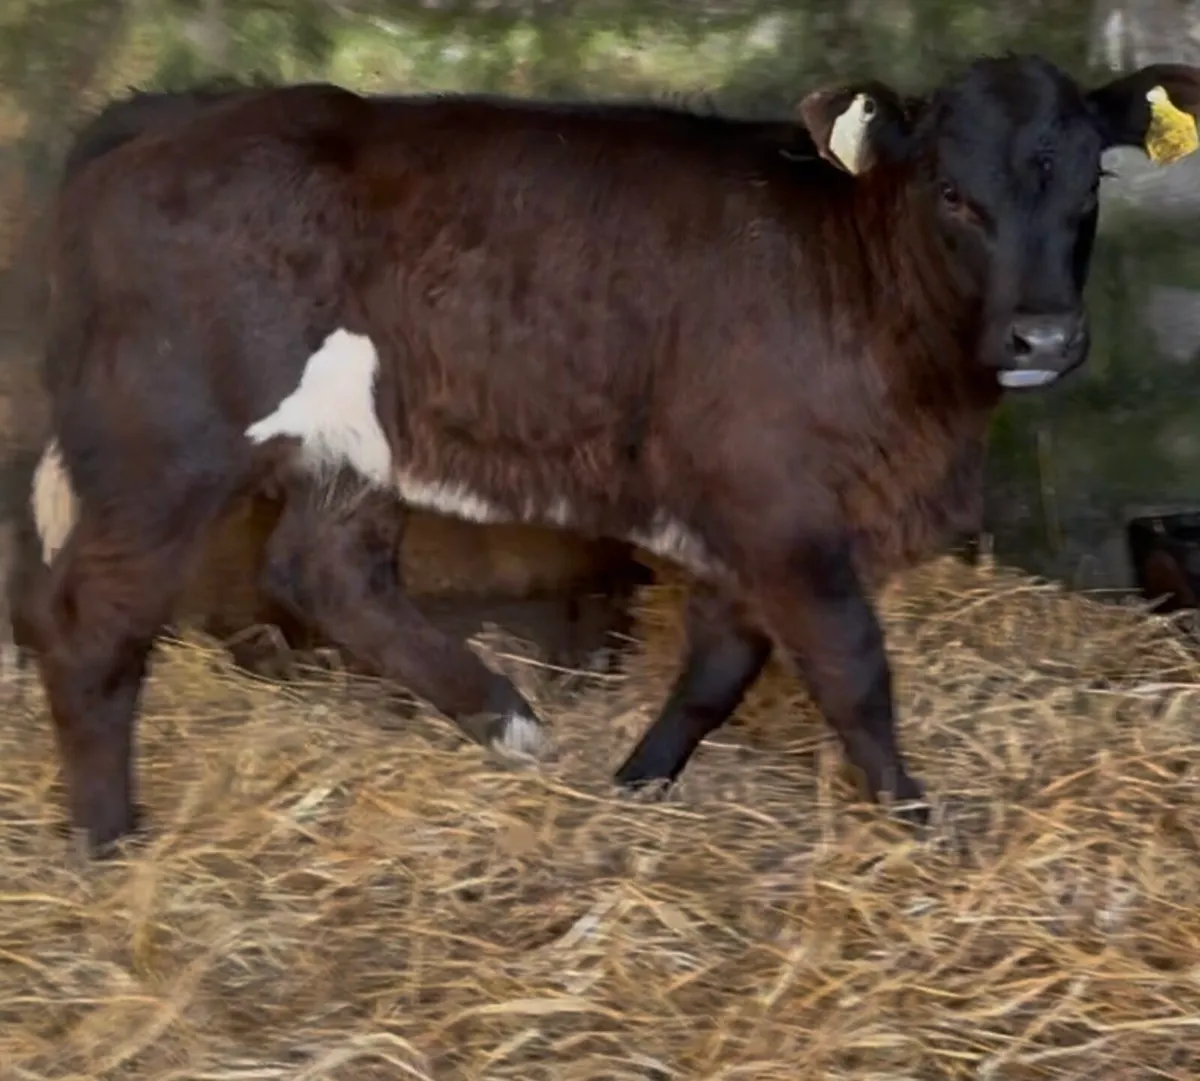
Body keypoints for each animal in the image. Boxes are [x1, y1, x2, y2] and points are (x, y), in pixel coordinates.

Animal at [17, 53, 1200, 857]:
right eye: (954, 193)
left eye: (1090, 189)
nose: (1043, 336)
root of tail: (165, 111)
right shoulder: (776, 496)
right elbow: (853, 669)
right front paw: (919, 823)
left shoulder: (748, 512)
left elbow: (719, 668)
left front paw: (638, 783)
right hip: (159, 441)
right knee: (87, 619)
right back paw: (109, 840)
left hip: (350, 443)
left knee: (326, 569)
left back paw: (505, 720)